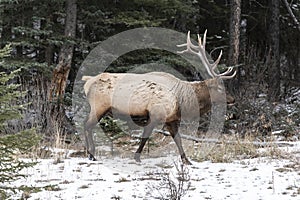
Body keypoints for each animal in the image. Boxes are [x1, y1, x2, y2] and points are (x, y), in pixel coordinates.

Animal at [82, 29, 237, 164]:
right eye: (219, 88)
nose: (232, 99)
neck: (182, 101)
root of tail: (87, 82)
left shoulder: (171, 119)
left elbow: (178, 139)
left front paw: (187, 161)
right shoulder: (156, 114)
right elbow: (145, 136)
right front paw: (137, 157)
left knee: (86, 124)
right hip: (99, 106)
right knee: (87, 125)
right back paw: (91, 155)